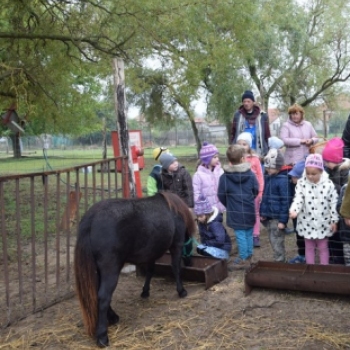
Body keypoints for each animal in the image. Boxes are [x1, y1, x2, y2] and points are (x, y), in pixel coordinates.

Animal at [74, 191, 194, 348]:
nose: (191, 262)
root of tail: (91, 218)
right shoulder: (177, 245)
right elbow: (175, 268)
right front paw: (181, 291)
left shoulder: (151, 253)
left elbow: (150, 271)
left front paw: (145, 292)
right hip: (110, 270)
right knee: (104, 296)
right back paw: (102, 336)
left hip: (98, 271)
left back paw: (113, 318)